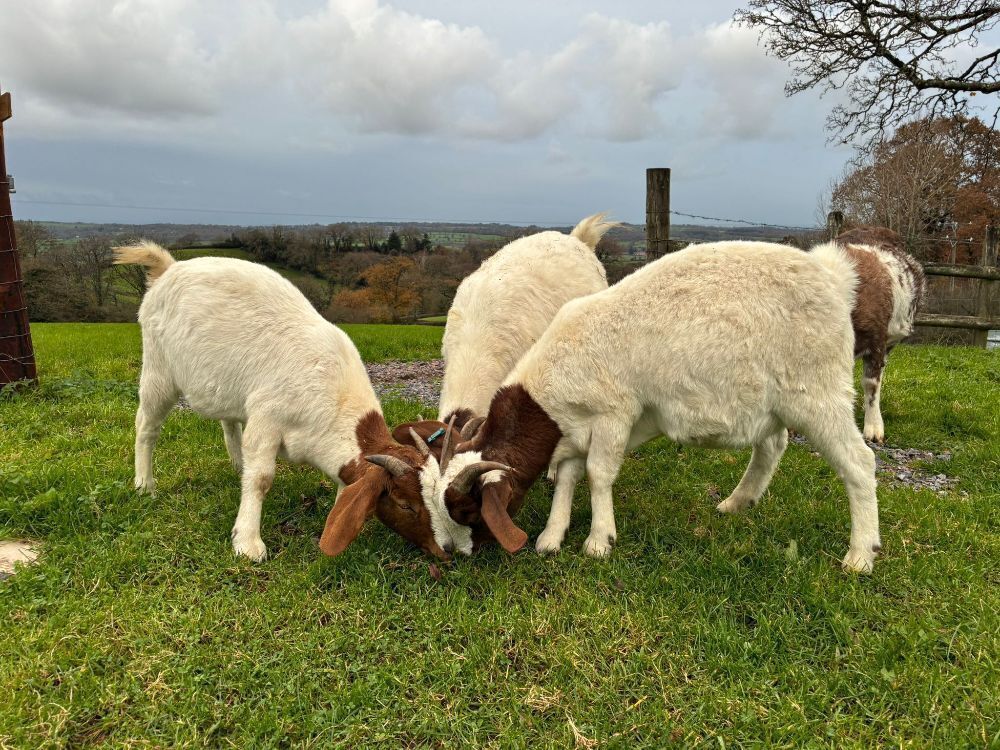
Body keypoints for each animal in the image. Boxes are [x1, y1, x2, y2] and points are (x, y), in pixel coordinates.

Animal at [113, 242, 460, 561]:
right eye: (405, 504)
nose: (447, 549)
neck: (335, 398)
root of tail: (169, 268)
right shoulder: (267, 419)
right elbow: (261, 479)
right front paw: (247, 543)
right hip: (159, 369)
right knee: (147, 426)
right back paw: (145, 484)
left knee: (229, 422)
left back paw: (237, 465)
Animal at [424, 241, 882, 573]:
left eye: (467, 510)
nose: (454, 554)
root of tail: (834, 277)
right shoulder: (575, 428)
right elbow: (569, 474)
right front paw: (552, 537)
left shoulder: (614, 414)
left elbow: (598, 474)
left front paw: (599, 540)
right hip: (772, 401)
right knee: (772, 445)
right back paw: (736, 503)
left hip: (817, 392)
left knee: (858, 462)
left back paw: (860, 555)